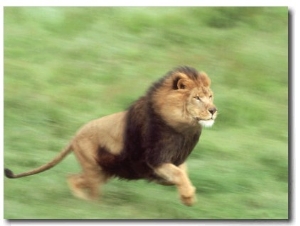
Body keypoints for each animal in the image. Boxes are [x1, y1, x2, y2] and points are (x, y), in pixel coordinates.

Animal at [4, 66, 216, 207]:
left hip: (103, 171)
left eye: (210, 96)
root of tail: (75, 136)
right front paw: (187, 195)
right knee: (84, 186)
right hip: (94, 168)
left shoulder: (177, 158)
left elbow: (182, 174)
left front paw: (187, 196)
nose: (213, 110)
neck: (182, 128)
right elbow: (179, 174)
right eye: (197, 98)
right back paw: (90, 206)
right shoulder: (155, 158)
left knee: (73, 177)